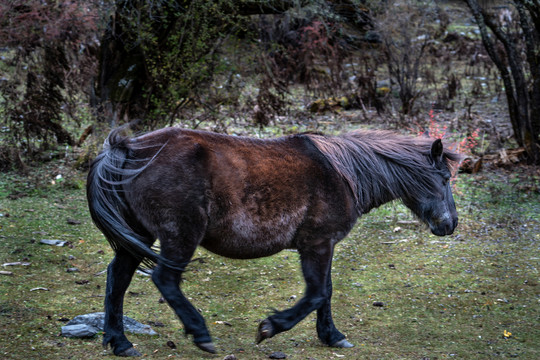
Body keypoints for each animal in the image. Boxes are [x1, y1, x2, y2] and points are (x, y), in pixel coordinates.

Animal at [87, 126, 460, 354]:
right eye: (443, 177)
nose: (450, 224)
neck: (344, 173)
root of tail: (128, 149)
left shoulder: (324, 246)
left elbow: (326, 292)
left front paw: (332, 336)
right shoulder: (317, 244)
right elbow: (317, 293)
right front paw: (270, 327)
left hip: (140, 236)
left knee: (118, 279)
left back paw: (120, 343)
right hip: (179, 235)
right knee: (165, 279)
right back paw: (201, 333)